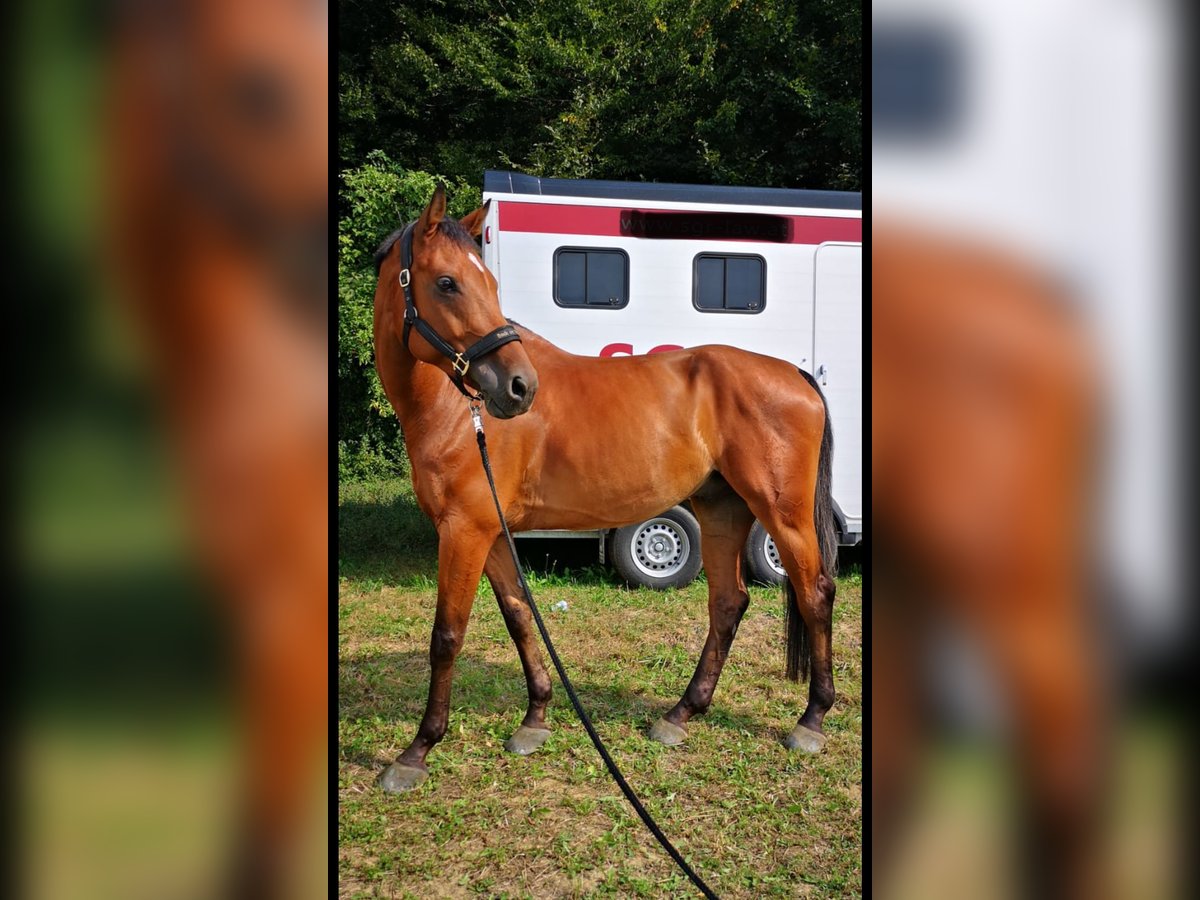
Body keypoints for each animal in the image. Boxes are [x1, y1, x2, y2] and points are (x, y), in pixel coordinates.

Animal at [372, 187, 835, 792]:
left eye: (486, 283)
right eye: (448, 282)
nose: (519, 388)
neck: (457, 412)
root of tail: (796, 375)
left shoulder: (464, 531)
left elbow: (447, 636)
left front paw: (417, 751)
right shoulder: (490, 532)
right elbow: (520, 616)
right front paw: (535, 719)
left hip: (784, 514)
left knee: (814, 594)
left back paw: (811, 721)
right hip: (721, 509)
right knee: (728, 602)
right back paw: (680, 714)